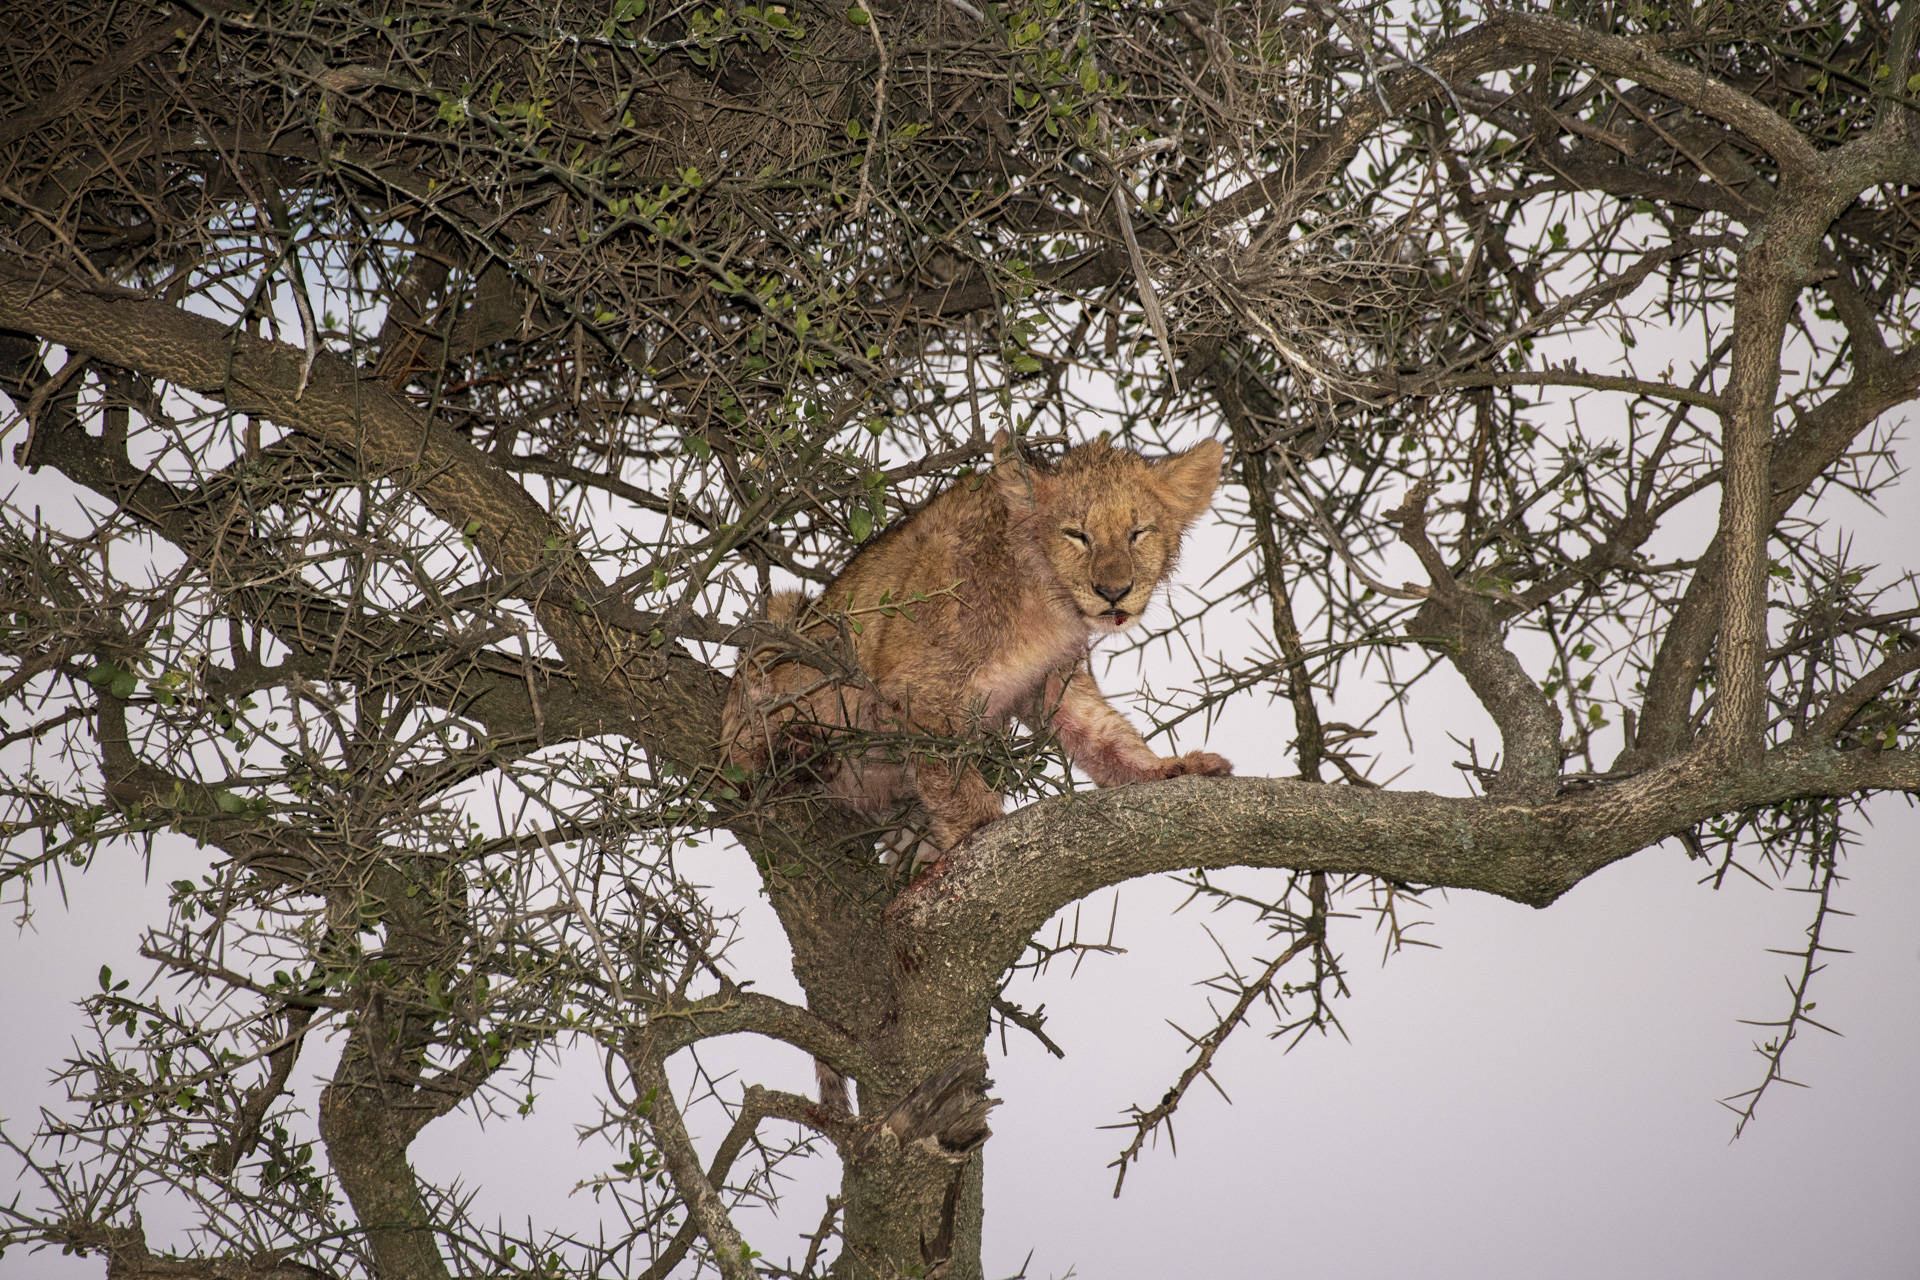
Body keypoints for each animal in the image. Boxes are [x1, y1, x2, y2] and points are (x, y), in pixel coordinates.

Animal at [722, 430, 1232, 868]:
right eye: (1077, 535)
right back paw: (795, 753)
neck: (1044, 604)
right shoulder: (915, 689)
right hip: (780, 624)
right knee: (736, 741)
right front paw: (977, 831)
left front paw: (1167, 768)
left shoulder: (1053, 683)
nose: (1113, 592)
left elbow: (1107, 736)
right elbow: (951, 777)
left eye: (1138, 533)